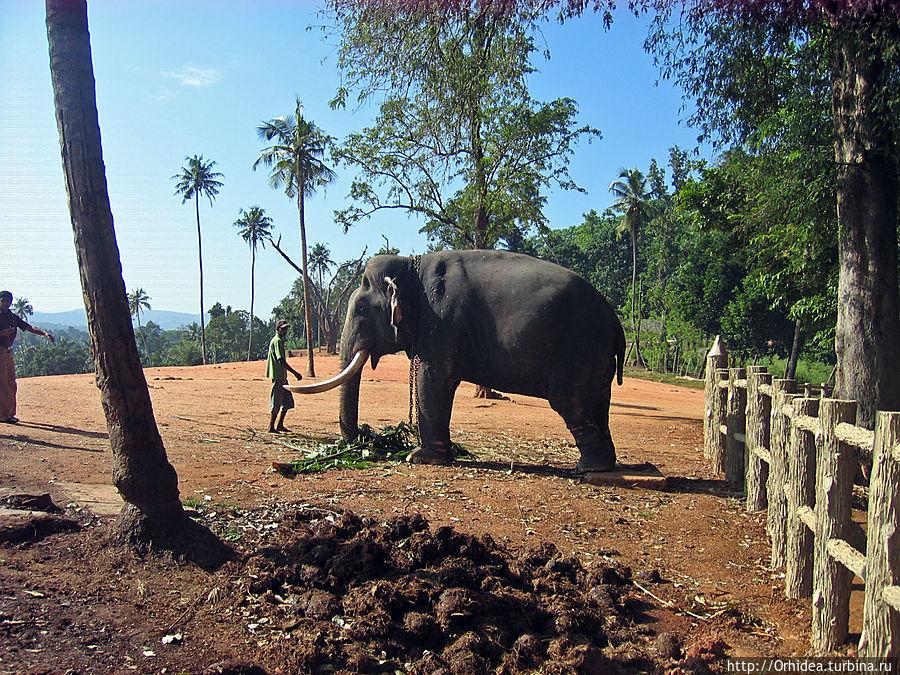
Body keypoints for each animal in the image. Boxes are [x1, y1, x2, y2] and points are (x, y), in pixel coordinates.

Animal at [288, 250, 624, 476]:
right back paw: (600, 465)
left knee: (570, 400)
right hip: (596, 357)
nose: (369, 436)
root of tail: (616, 323)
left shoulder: (443, 319)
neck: (411, 264)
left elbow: (433, 379)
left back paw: (587, 470)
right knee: (598, 404)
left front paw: (419, 458)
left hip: (580, 346)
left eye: (360, 309)